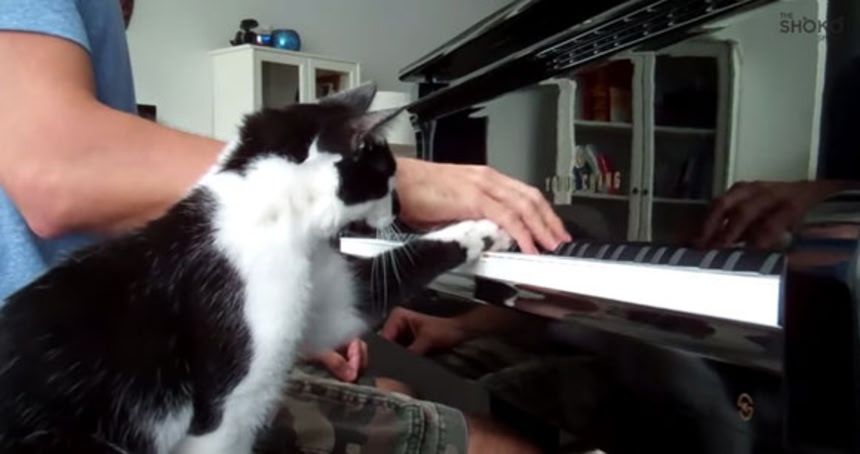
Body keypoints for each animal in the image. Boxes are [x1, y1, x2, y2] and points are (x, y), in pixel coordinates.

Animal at [0, 82, 512, 454]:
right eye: (388, 173)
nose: (403, 206)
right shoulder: (226, 407)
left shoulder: (327, 302)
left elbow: (374, 287)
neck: (282, 217)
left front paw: (483, 230)